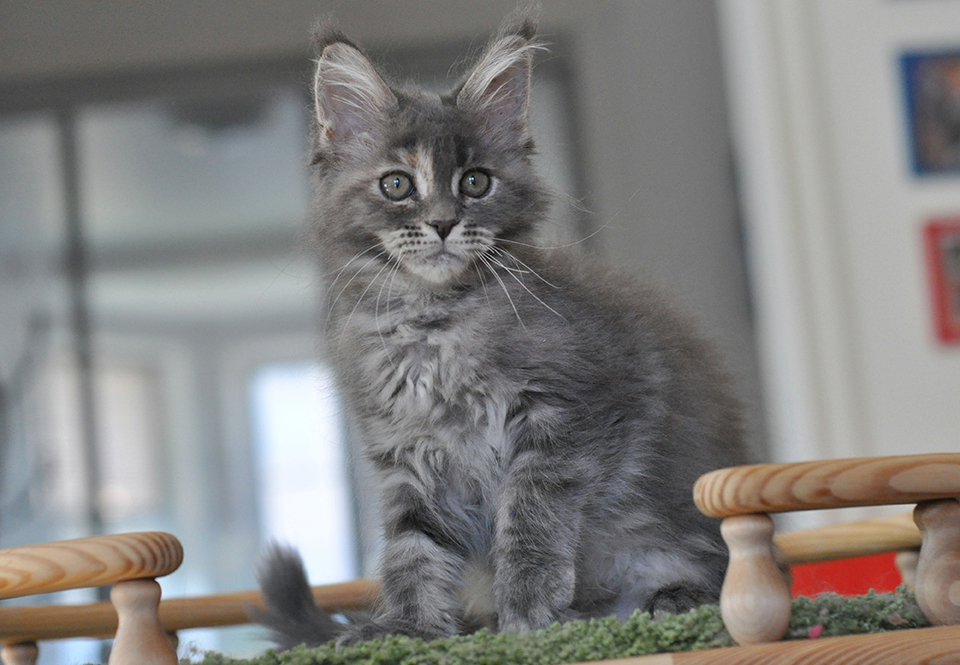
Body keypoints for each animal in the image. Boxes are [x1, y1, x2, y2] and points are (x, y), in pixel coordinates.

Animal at [256, 19, 752, 648]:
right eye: (396, 185)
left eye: (475, 181)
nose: (443, 222)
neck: (434, 325)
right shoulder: (407, 453)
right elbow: (413, 548)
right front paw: (406, 630)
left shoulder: (568, 415)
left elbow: (530, 521)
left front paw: (530, 615)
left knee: (712, 572)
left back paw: (665, 600)